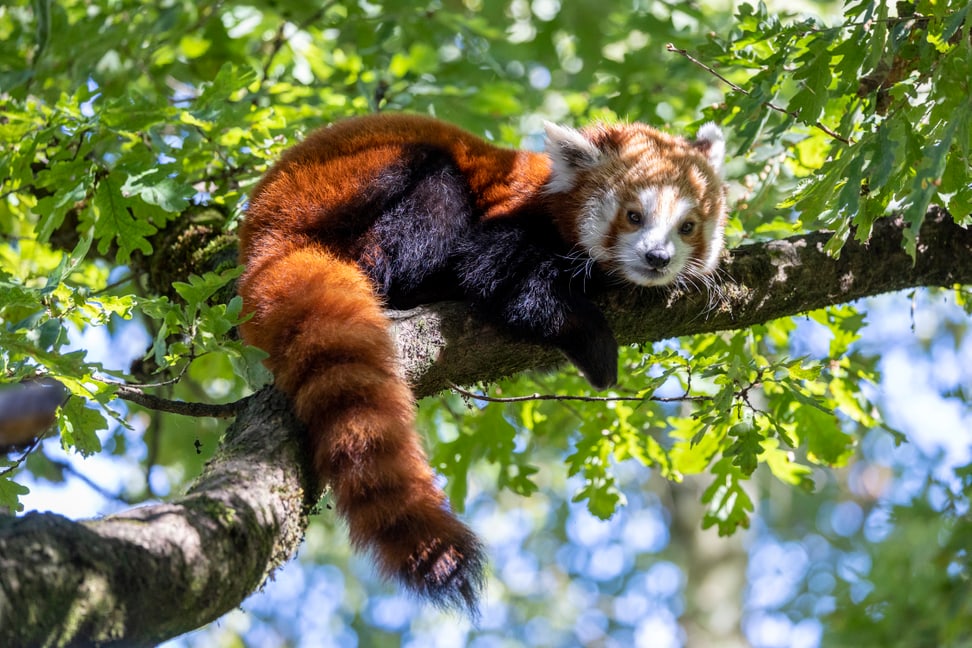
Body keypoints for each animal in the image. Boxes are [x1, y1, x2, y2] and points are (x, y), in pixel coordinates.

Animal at [237, 114, 728, 616]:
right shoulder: (512, 220)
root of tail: (262, 238)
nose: (657, 258)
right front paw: (591, 340)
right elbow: (497, 273)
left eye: (688, 226)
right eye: (633, 216)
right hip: (351, 193)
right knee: (431, 193)